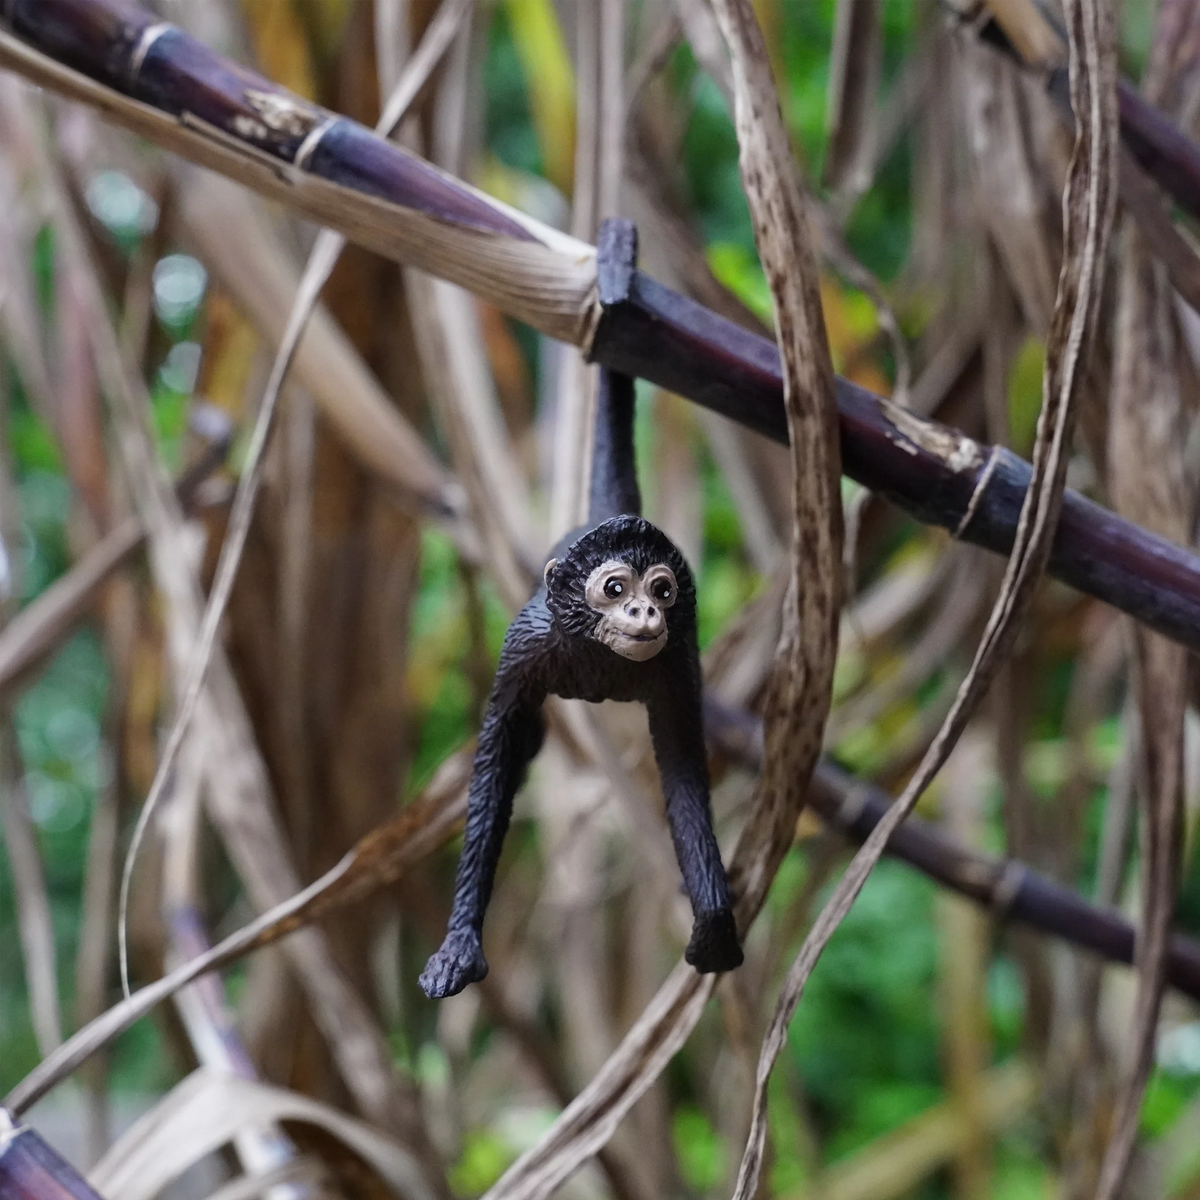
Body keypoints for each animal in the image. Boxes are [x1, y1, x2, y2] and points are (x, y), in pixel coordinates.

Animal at [419, 231, 743, 1001]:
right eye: (614, 587)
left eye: (662, 591)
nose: (644, 613)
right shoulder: (528, 643)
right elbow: (499, 750)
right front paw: (460, 944)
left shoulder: (678, 657)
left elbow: (683, 768)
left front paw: (713, 923)